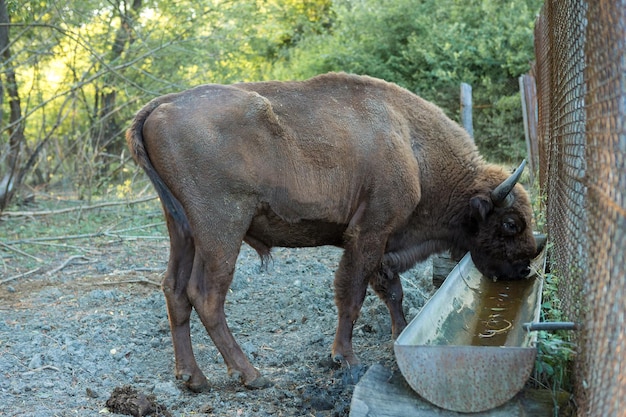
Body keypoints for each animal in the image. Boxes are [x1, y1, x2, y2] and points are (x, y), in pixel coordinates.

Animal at [127, 72, 536, 390]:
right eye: (510, 224)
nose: (525, 268)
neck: (411, 144)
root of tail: (162, 104)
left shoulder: (383, 246)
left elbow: (392, 292)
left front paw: (397, 335)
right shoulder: (369, 233)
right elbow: (352, 295)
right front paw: (345, 358)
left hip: (181, 229)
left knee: (174, 289)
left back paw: (192, 378)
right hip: (222, 230)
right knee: (206, 295)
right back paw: (251, 375)